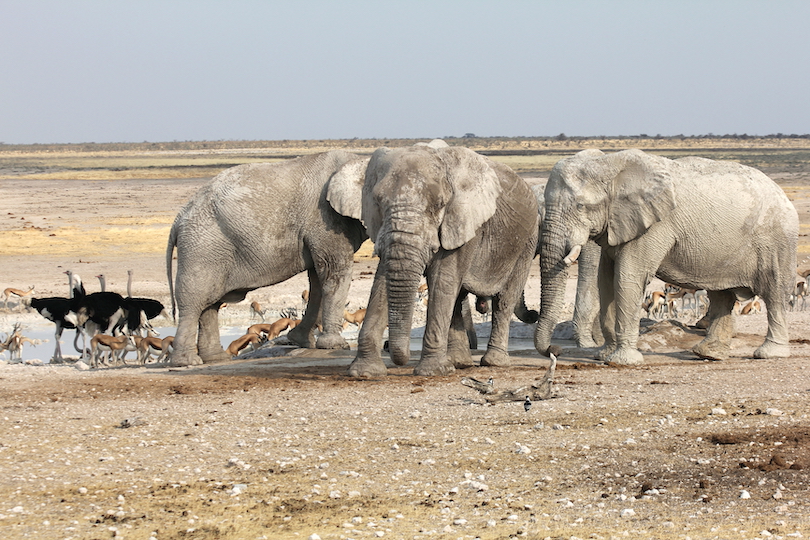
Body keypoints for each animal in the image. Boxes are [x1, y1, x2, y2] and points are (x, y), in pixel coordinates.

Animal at [168, 150, 370, 364]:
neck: (360, 159)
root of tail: (179, 218)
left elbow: (318, 280)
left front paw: (302, 341)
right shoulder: (325, 219)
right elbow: (333, 271)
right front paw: (336, 346)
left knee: (211, 303)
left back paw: (216, 359)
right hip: (201, 246)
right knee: (194, 300)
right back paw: (187, 362)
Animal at [326, 140, 540, 376]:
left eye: (438, 204)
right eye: (378, 202)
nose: (392, 350)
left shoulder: (462, 221)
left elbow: (442, 279)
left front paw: (432, 371)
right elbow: (382, 280)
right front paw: (364, 372)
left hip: (527, 240)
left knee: (504, 300)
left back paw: (493, 362)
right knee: (457, 299)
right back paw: (459, 363)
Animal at [536, 150, 796, 364]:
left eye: (580, 206)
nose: (555, 350)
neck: (611, 163)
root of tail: (783, 194)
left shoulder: (655, 224)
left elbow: (628, 276)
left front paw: (622, 361)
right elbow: (606, 280)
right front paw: (603, 355)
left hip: (776, 240)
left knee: (774, 291)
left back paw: (769, 353)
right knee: (721, 294)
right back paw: (708, 353)